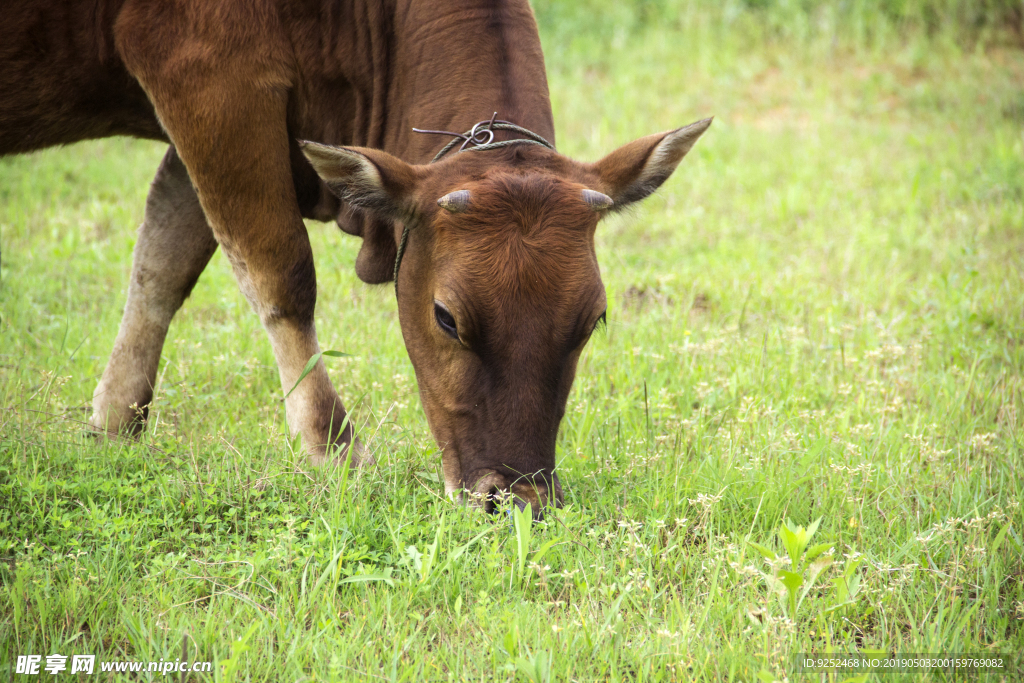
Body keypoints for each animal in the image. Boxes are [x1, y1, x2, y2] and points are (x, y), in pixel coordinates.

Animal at [0, 0, 708, 511]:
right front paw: (332, 448)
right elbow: (278, 273)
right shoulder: (206, 80)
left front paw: (114, 424)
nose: (519, 497)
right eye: (447, 318)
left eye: (592, 321)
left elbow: (162, 261)